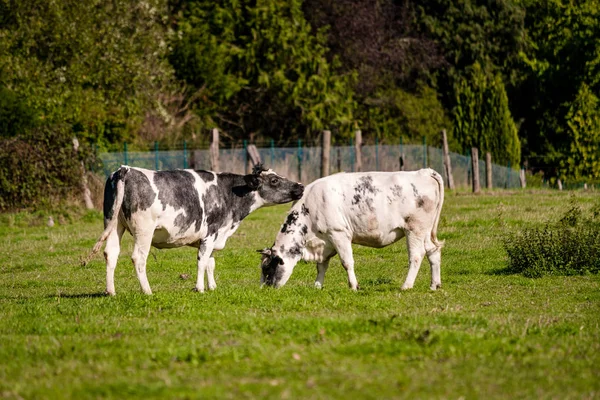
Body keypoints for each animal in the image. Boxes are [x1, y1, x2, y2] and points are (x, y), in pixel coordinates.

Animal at [88, 164, 304, 296]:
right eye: (274, 180)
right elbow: (202, 261)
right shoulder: (211, 233)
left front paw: (213, 287)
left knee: (111, 253)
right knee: (138, 258)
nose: (300, 186)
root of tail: (125, 170)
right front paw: (200, 288)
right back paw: (147, 290)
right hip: (144, 230)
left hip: (114, 224)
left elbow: (210, 263)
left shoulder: (213, 237)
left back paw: (111, 291)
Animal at [258, 168, 446, 290]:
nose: (265, 289)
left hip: (415, 229)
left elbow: (347, 262)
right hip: (426, 231)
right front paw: (317, 286)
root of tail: (423, 171)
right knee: (433, 251)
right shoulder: (324, 241)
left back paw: (406, 286)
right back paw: (434, 285)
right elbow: (321, 266)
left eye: (266, 268)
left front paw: (354, 286)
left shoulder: (338, 234)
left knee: (416, 255)